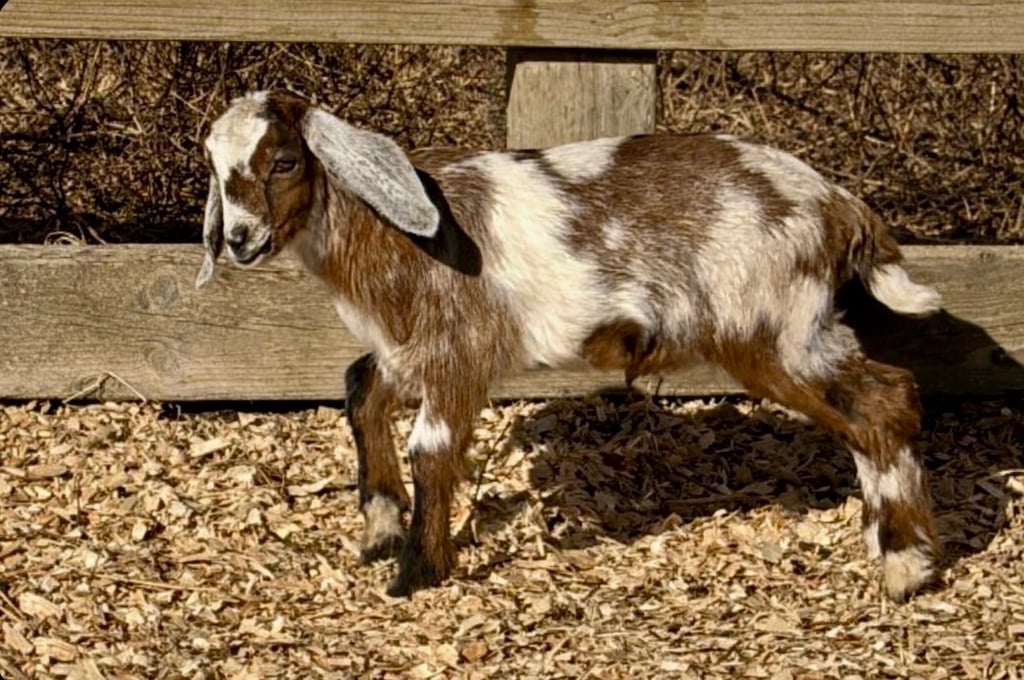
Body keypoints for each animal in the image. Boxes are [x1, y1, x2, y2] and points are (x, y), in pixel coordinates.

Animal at [197, 90, 943, 601]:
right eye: (215, 166)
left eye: (285, 161)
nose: (239, 239)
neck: (388, 233)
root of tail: (841, 205)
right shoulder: (408, 349)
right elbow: (360, 388)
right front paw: (380, 529)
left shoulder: (457, 351)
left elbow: (431, 450)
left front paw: (416, 574)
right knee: (886, 400)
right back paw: (891, 540)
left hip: (777, 329)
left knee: (886, 399)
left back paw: (906, 564)